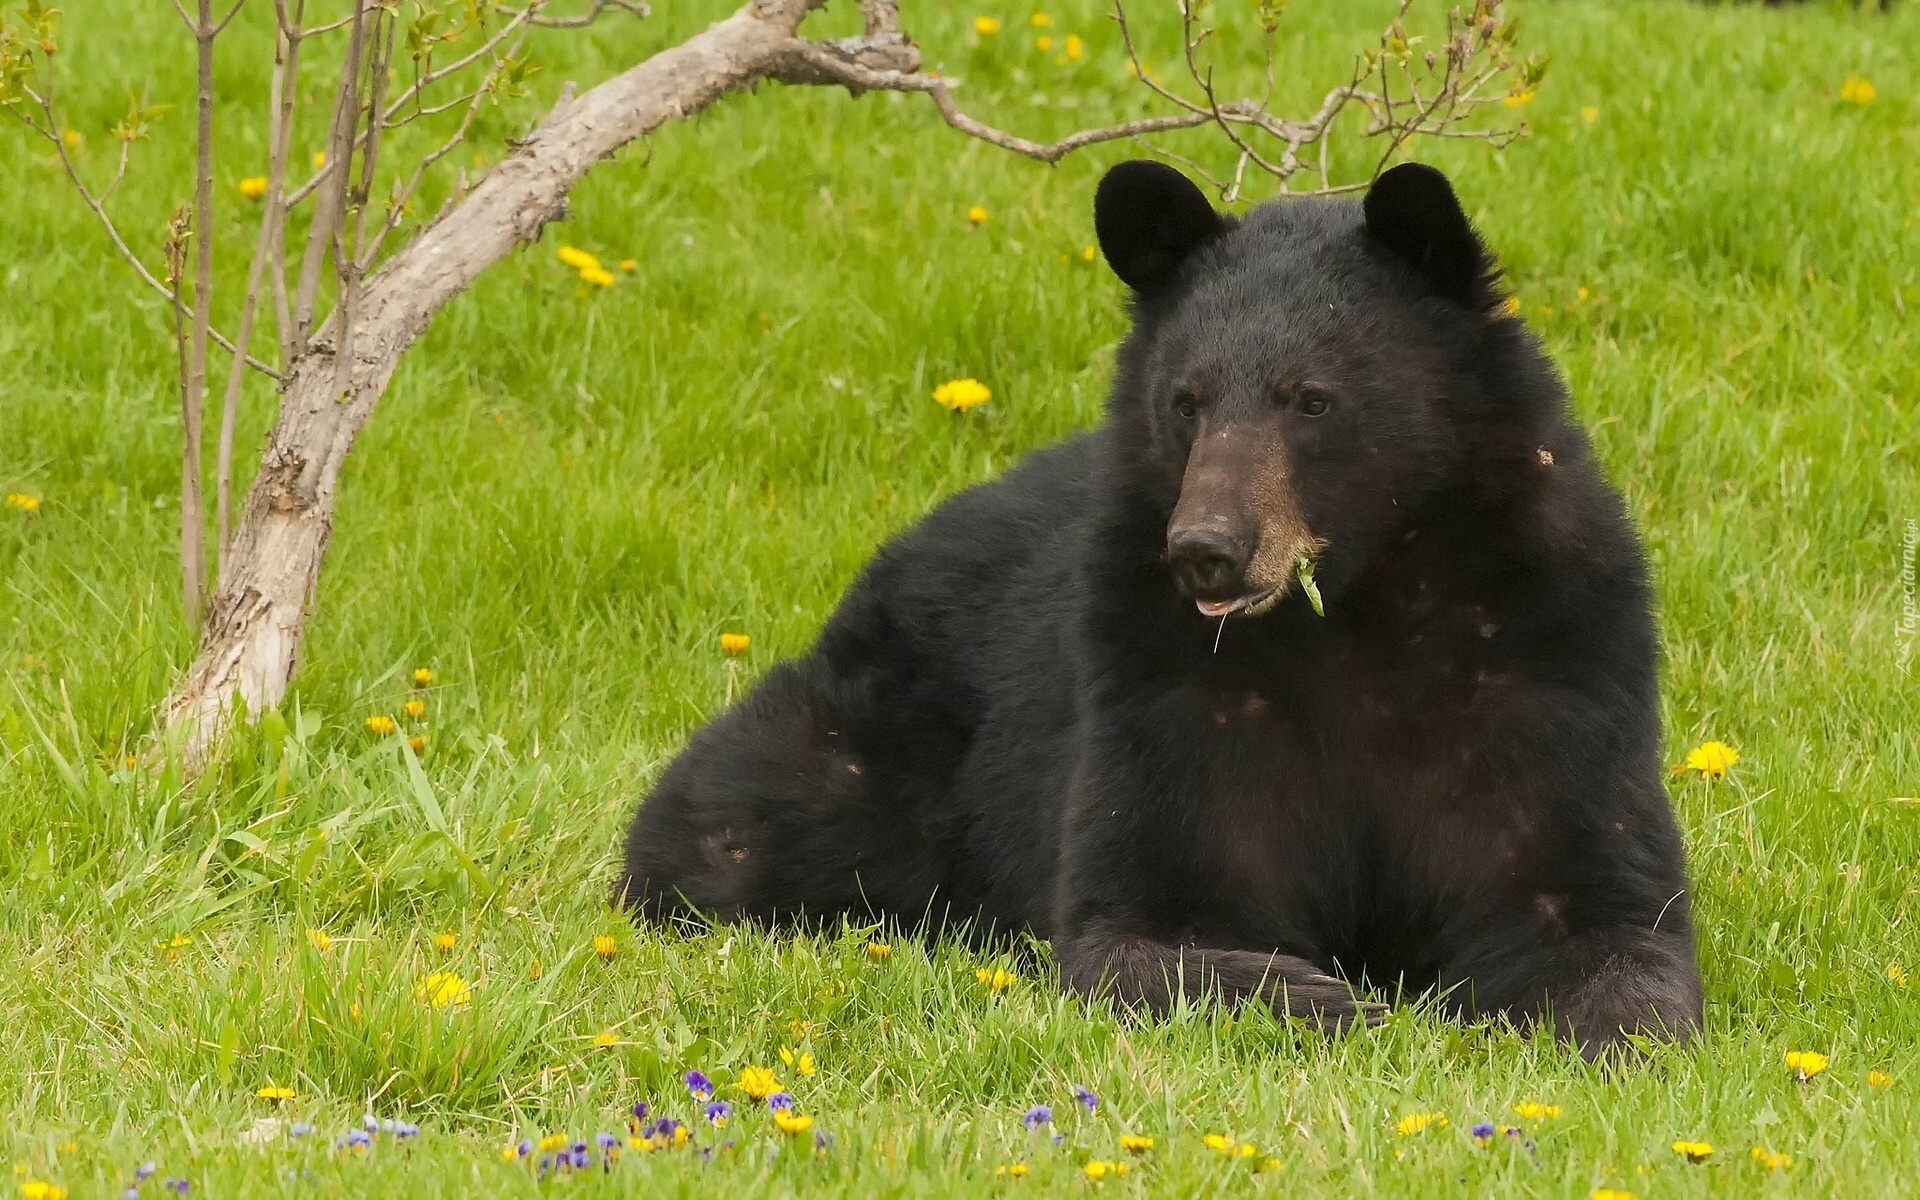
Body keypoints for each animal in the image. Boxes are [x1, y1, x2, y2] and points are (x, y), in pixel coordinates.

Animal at [610, 156, 1697, 1044]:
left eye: (1312, 398)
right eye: (1188, 399)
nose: (1207, 551)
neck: (1355, 612)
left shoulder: (1545, 660)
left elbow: (1587, 897)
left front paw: (1610, 1020)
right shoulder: (1163, 685)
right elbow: (1145, 910)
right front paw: (1314, 993)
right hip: (874, 735)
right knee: (729, 820)